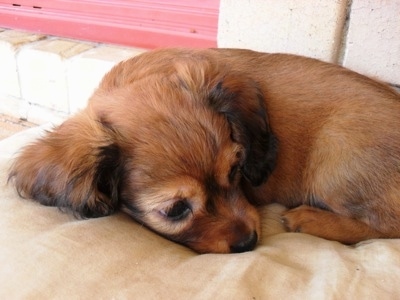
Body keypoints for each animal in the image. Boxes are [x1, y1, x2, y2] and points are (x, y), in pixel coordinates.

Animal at [8, 48, 400, 253]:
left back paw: (309, 218)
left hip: (336, 155)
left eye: (236, 171)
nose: (248, 242)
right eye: (176, 210)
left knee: (387, 225)